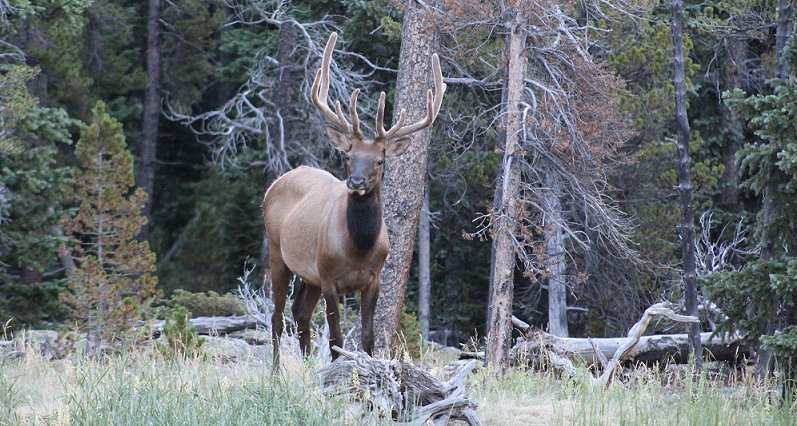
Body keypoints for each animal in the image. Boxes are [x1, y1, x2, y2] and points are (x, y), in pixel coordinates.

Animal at [262, 33, 444, 362]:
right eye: (348, 156)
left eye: (380, 160)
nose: (356, 182)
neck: (358, 248)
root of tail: (275, 184)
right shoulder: (329, 276)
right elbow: (336, 338)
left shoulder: (373, 278)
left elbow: (368, 337)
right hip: (278, 252)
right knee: (277, 316)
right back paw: (276, 369)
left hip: (309, 274)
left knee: (300, 312)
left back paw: (307, 364)